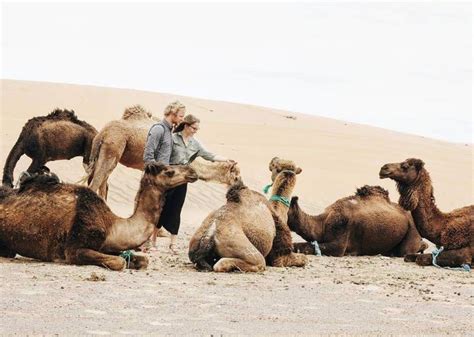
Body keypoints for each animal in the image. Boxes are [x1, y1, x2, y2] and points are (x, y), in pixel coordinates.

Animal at [0, 161, 198, 270]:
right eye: (169, 171)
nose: (193, 172)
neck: (112, 224)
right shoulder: (74, 249)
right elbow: (119, 262)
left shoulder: (108, 245)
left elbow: (143, 260)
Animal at [85, 105, 241, 198]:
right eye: (236, 177)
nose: (240, 187)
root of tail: (102, 133)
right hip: (113, 147)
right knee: (96, 183)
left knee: (102, 184)